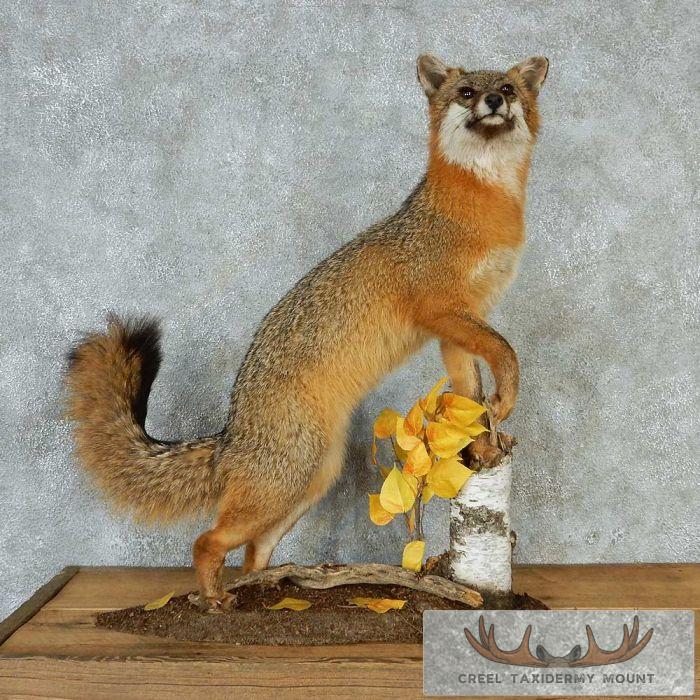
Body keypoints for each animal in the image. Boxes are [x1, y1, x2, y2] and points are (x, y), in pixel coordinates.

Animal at [66, 53, 549, 611]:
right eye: (467, 93)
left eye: (507, 89)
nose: (493, 100)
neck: (480, 209)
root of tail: (231, 433)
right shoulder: (444, 311)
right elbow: (505, 351)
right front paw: (505, 397)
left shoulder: (459, 325)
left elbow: (468, 387)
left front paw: (479, 440)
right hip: (289, 481)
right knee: (207, 542)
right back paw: (214, 601)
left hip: (311, 482)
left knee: (252, 554)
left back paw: (271, 591)